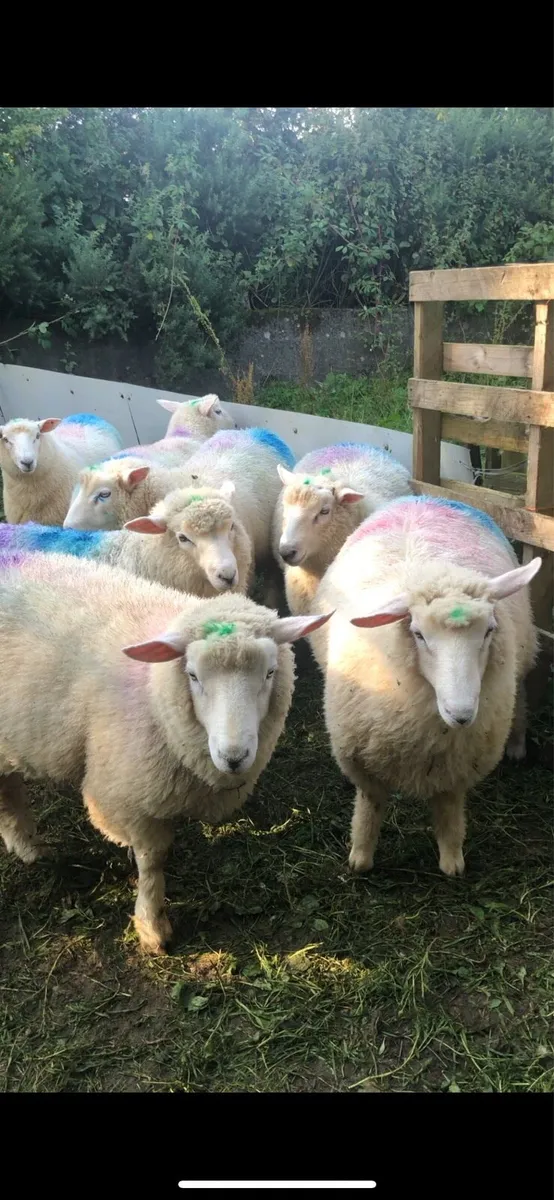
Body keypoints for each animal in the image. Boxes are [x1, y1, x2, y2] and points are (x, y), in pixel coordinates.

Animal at [0, 550, 332, 953]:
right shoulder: (129, 795)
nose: (234, 757)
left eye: (270, 672)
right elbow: (153, 860)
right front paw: (152, 925)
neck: (153, 690)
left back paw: (26, 844)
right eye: (192, 675)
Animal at [307, 495, 542, 880]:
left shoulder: (457, 765)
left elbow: (449, 810)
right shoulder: (363, 760)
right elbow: (370, 807)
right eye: (418, 634)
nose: (462, 714)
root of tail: (422, 497)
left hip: (521, 655)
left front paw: (452, 861)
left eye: (490, 630)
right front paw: (360, 857)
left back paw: (518, 745)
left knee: (521, 694)